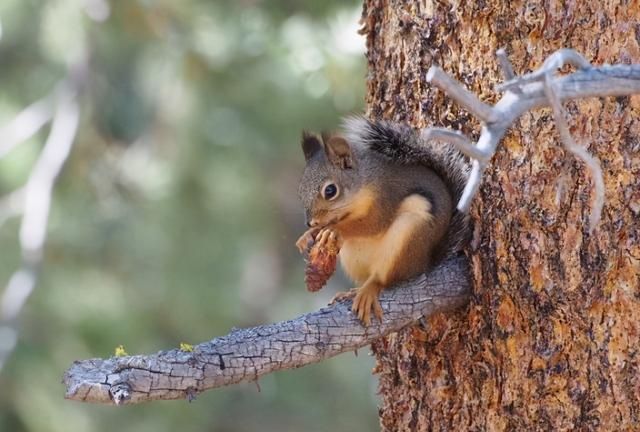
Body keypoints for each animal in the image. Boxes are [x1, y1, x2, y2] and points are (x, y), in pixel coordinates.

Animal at [296, 116, 470, 326]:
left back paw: (370, 290)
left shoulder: (386, 197)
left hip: (408, 234)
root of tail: (425, 262)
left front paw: (336, 230)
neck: (364, 183)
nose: (310, 222)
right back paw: (353, 291)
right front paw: (308, 236)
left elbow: (372, 224)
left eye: (330, 190)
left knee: (384, 280)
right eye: (300, 190)